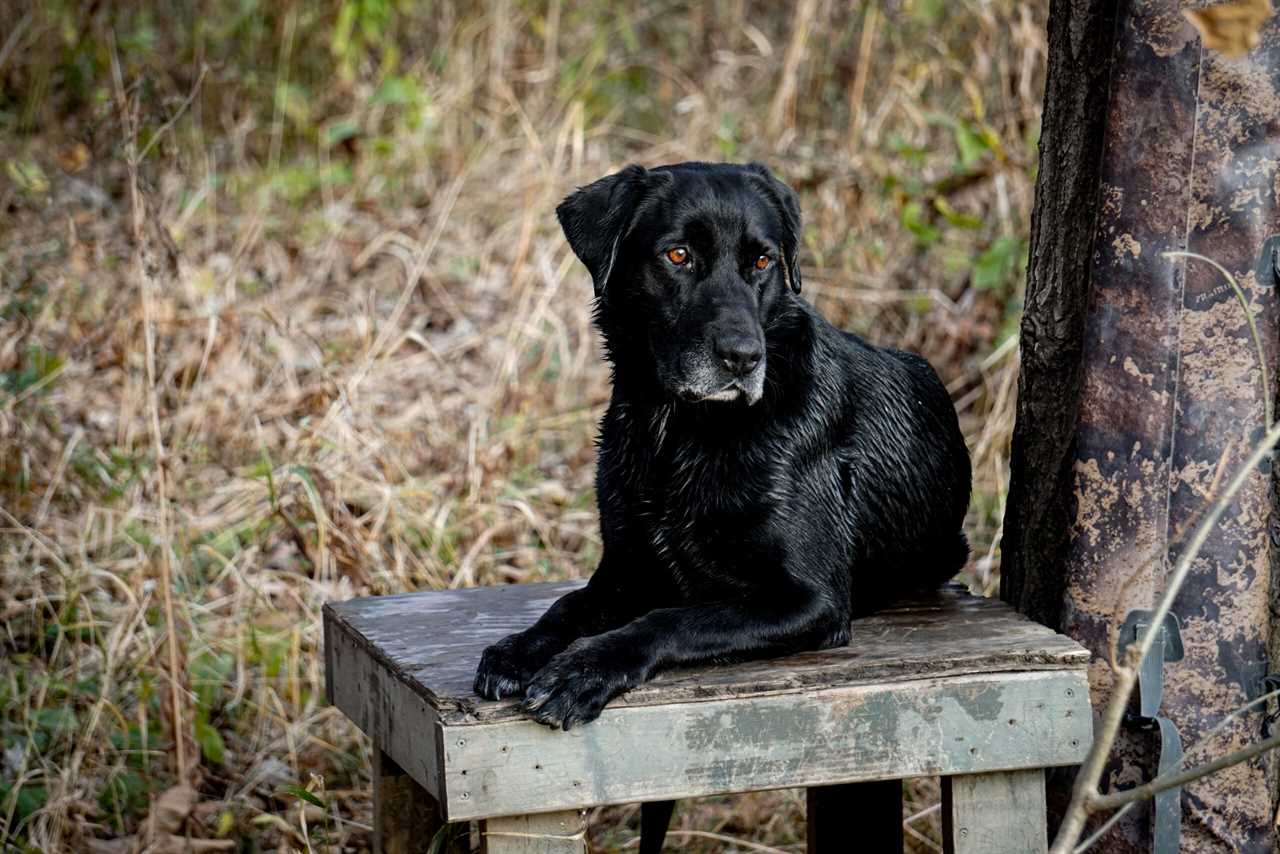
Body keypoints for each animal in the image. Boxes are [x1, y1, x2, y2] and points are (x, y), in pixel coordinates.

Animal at [473, 161, 967, 727]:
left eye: (762, 261)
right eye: (678, 255)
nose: (744, 357)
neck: (679, 427)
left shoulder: (810, 600)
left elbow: (671, 619)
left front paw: (582, 669)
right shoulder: (625, 570)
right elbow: (568, 605)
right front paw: (518, 649)